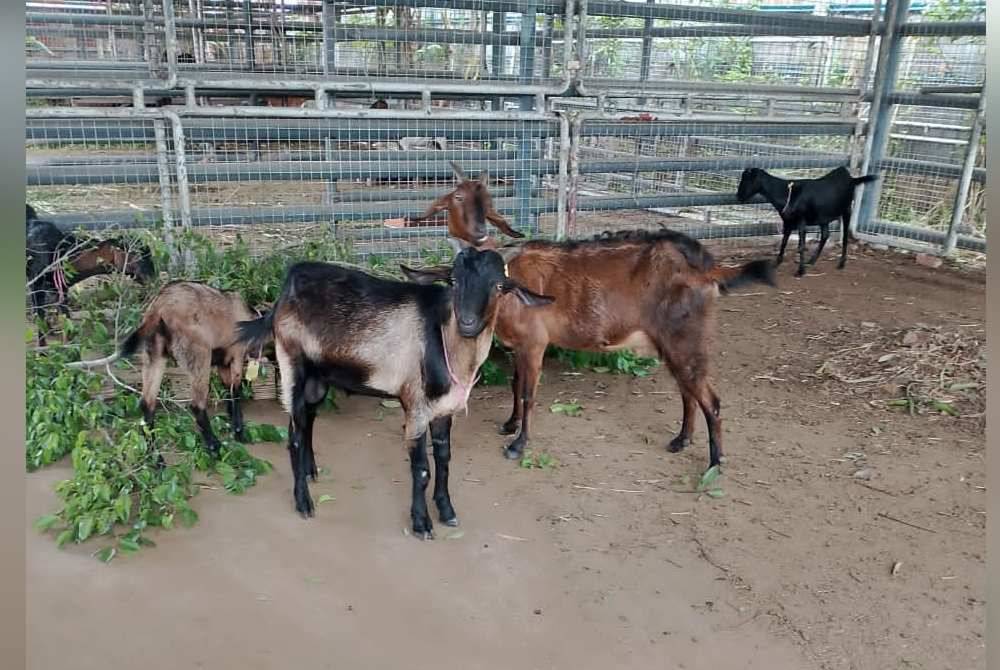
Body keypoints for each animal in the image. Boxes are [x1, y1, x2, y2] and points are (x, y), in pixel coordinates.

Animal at [70, 280, 258, 454]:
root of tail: (158, 306)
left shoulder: (223, 363)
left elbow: (229, 391)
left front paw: (233, 423)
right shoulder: (236, 355)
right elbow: (236, 391)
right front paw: (239, 431)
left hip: (155, 356)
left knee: (147, 404)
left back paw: (155, 458)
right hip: (199, 355)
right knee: (196, 404)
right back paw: (213, 446)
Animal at [237, 249, 552, 540]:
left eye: (499, 286)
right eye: (453, 280)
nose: (467, 322)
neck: (445, 342)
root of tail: (286, 288)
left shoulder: (444, 409)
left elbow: (444, 458)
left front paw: (446, 510)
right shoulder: (416, 406)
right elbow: (422, 469)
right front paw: (422, 523)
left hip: (319, 377)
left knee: (307, 420)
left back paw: (309, 471)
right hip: (291, 362)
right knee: (293, 433)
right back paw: (304, 502)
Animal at [736, 167, 876, 278]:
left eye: (748, 180)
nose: (738, 197)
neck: (788, 194)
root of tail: (851, 178)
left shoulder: (801, 221)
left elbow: (801, 245)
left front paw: (800, 271)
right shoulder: (788, 221)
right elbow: (784, 242)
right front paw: (777, 262)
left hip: (847, 209)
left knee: (845, 235)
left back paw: (841, 263)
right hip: (823, 217)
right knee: (825, 235)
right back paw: (812, 260)